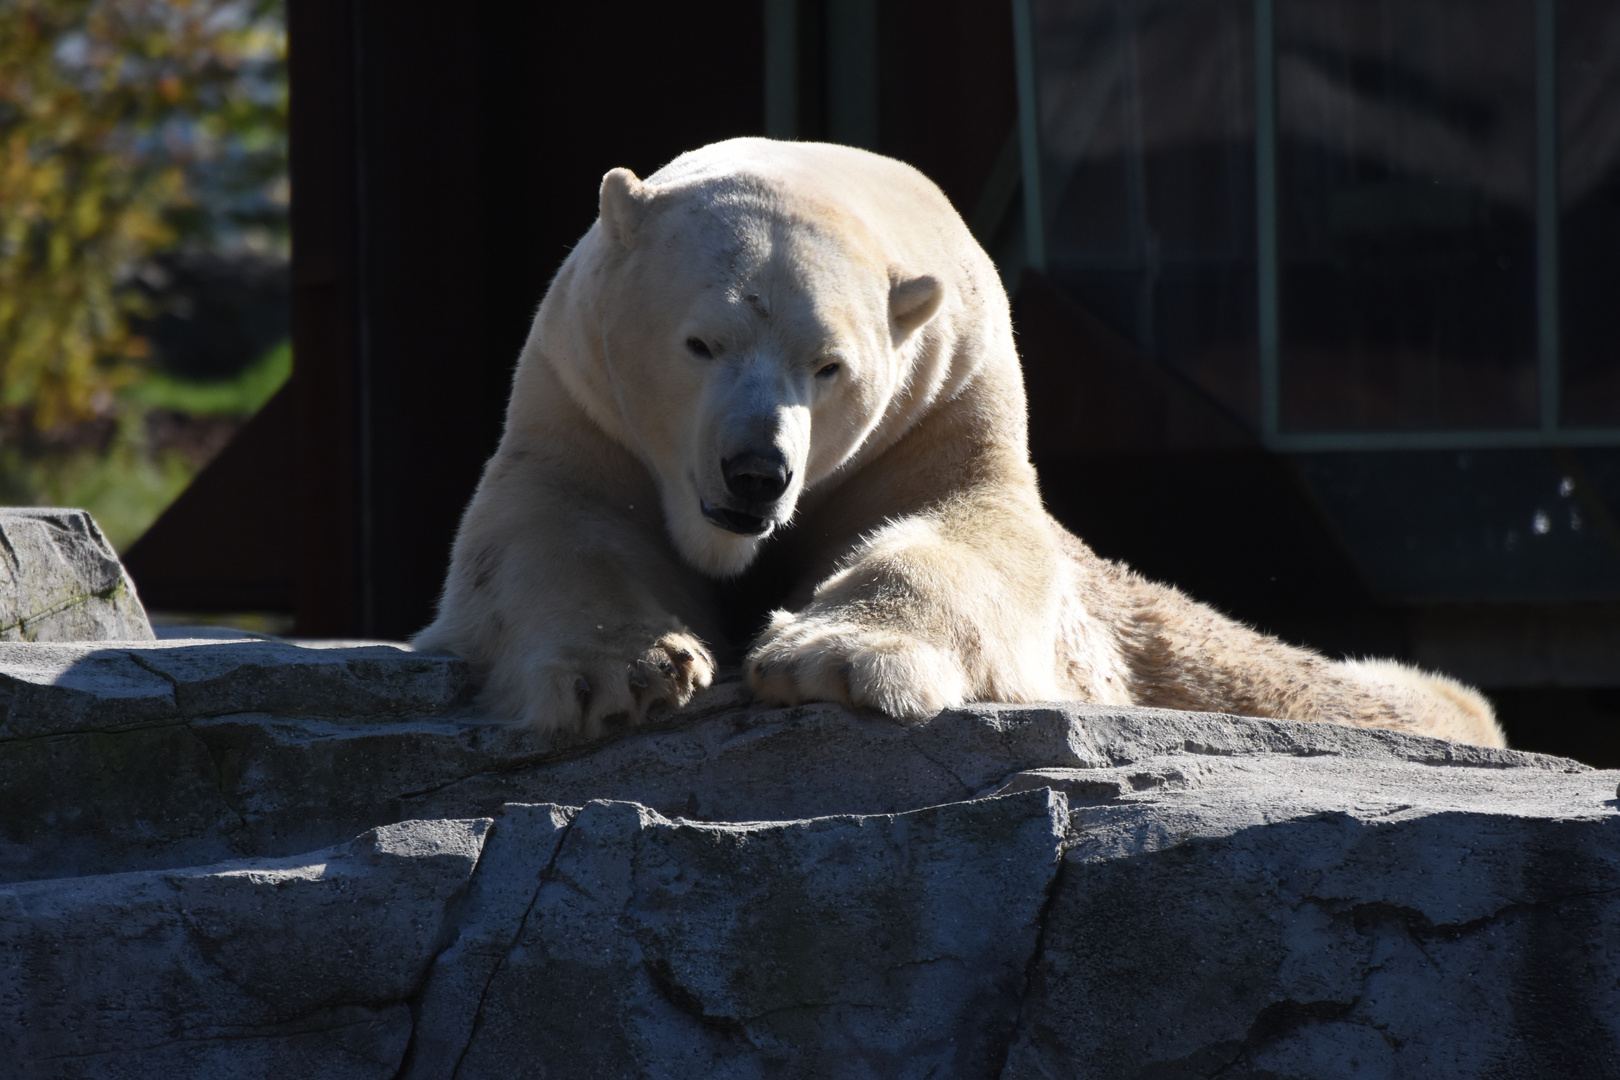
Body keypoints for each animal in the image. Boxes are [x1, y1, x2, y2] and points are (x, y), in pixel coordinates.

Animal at [414, 139, 1503, 751]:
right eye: (700, 341)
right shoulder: (578, 404)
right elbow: (557, 532)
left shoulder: (947, 403)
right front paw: (629, 672)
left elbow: (965, 536)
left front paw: (831, 656)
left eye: (831, 366)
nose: (756, 472)